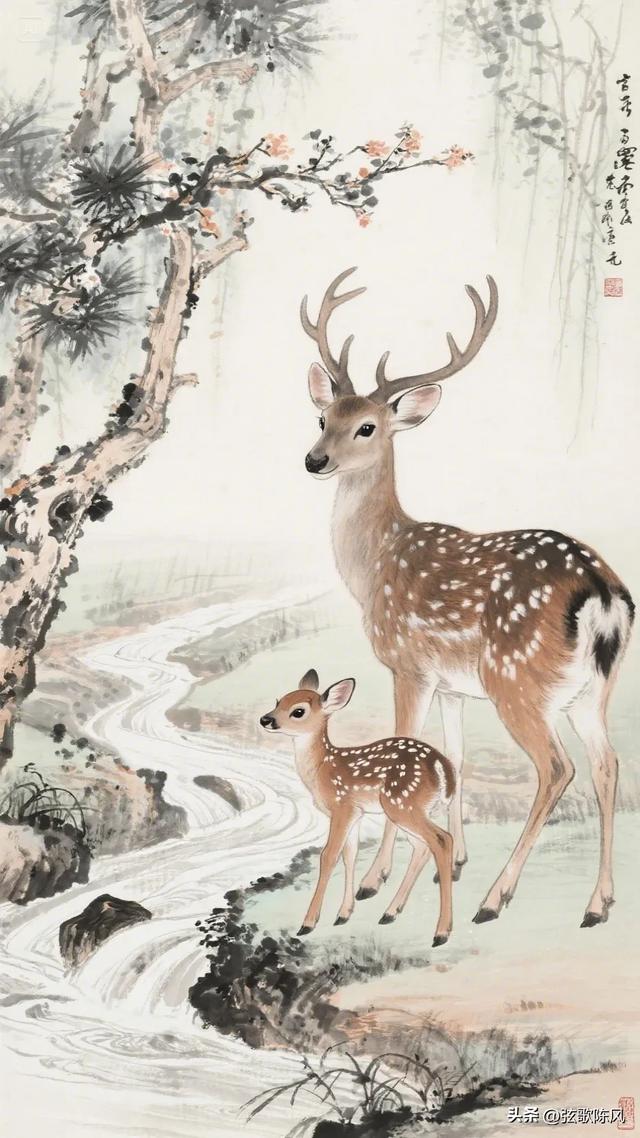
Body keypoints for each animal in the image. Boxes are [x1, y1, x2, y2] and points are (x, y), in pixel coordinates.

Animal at [260, 670, 456, 946]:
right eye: (279, 700)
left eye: (298, 711)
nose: (265, 719)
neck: (322, 769)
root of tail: (444, 771)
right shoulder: (357, 813)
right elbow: (349, 856)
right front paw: (343, 914)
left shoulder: (342, 806)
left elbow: (328, 856)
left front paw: (308, 923)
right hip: (407, 811)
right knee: (422, 847)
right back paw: (390, 912)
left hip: (402, 803)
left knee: (442, 840)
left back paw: (441, 932)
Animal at [299, 268, 635, 930]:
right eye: (324, 416)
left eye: (367, 426)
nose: (314, 460)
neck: (374, 566)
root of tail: (604, 596)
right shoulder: (454, 685)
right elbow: (452, 756)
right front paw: (450, 864)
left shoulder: (408, 665)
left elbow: (402, 744)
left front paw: (376, 883)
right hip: (592, 689)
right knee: (608, 765)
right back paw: (597, 904)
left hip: (517, 679)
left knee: (558, 768)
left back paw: (495, 898)